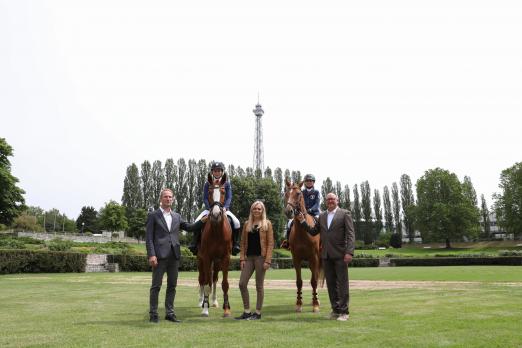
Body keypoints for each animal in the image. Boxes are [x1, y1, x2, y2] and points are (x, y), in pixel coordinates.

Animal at [284, 178, 320, 312]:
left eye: (299, 194)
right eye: (286, 193)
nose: (288, 211)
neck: (303, 231)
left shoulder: (314, 258)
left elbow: (314, 281)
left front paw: (315, 304)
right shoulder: (296, 259)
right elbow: (299, 282)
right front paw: (299, 303)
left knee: (317, 276)